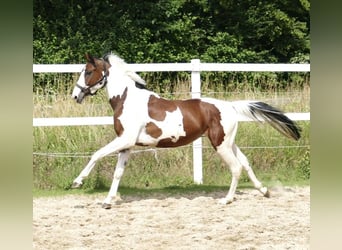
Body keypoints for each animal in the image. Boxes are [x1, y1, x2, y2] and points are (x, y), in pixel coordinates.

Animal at [71, 52, 300, 209]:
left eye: (88, 71)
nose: (75, 95)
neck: (127, 100)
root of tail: (231, 106)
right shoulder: (126, 144)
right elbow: (118, 173)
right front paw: (108, 201)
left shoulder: (124, 140)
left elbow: (96, 154)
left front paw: (77, 182)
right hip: (228, 142)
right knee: (245, 162)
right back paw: (264, 190)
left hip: (220, 145)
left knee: (236, 167)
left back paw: (226, 200)